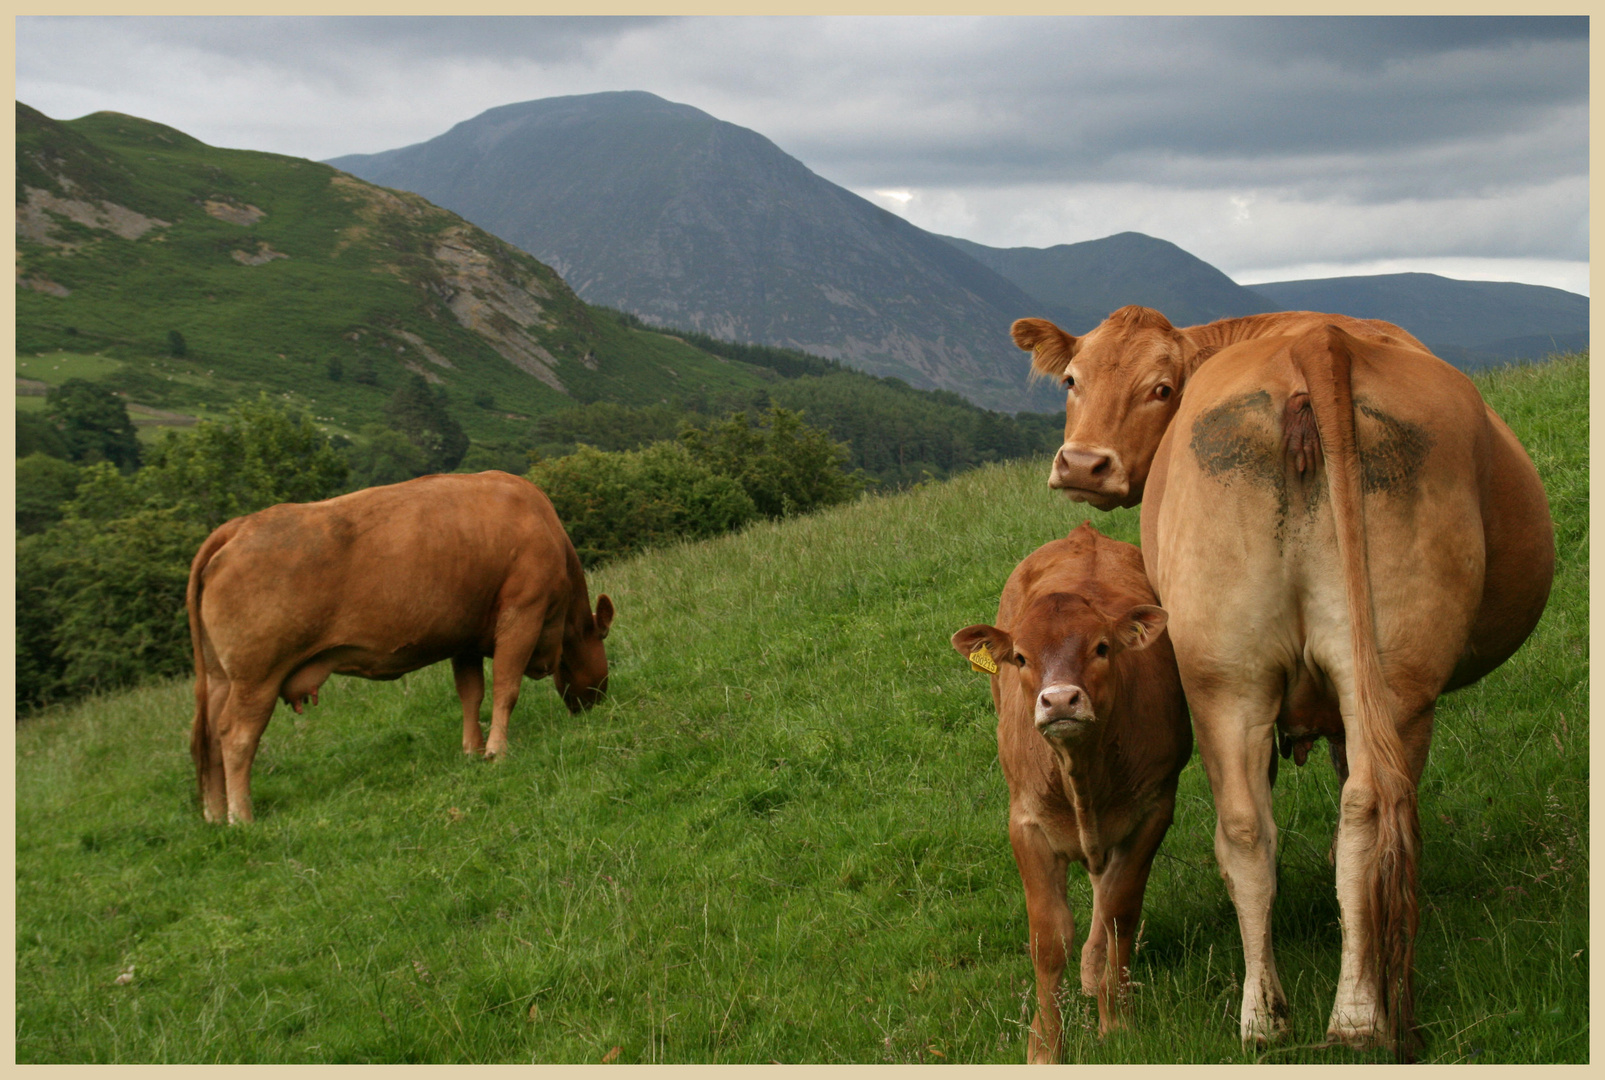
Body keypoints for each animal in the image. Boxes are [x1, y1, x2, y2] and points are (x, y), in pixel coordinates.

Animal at [186, 468, 613, 821]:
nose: (595, 705)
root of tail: (237, 527)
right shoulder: (522, 613)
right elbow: (505, 689)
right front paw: (496, 752)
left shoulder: (465, 637)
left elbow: (470, 693)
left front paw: (471, 750)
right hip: (255, 679)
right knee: (236, 737)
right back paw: (242, 816)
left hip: (220, 678)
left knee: (209, 740)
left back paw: (216, 814)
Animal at [950, 523, 1194, 1059]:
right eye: (1021, 657)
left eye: (1102, 647)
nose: (1060, 699)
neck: (1080, 771)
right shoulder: (1026, 824)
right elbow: (1049, 939)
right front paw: (1045, 1046)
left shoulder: (1152, 811)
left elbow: (1120, 912)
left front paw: (1115, 1022)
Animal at [1007, 309, 1547, 1052]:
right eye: (1071, 380)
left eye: (1160, 388)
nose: (1084, 463)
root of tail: (1316, 342)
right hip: (1363, 682)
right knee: (1341, 814)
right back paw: (1333, 1017)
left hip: (1237, 678)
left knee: (1270, 828)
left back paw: (1294, 1017)